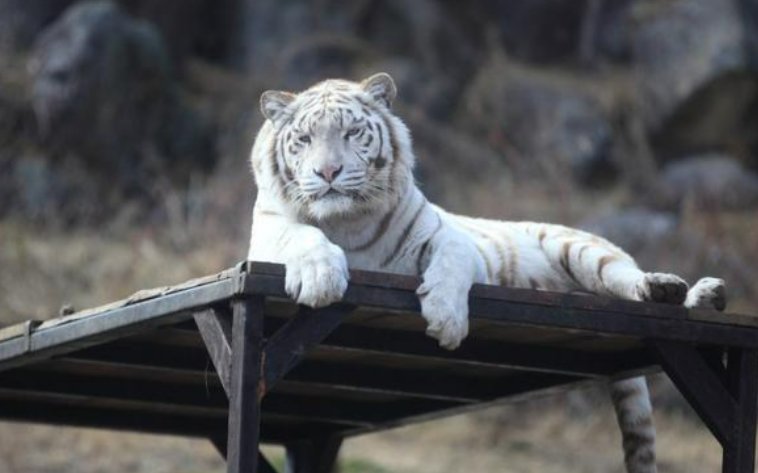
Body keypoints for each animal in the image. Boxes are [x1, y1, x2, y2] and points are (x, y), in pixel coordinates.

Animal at [246, 73, 726, 473]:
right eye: (304, 139)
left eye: (351, 133)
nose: (328, 172)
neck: (349, 221)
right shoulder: (269, 234)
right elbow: (304, 237)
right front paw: (321, 279)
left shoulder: (449, 237)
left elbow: (451, 264)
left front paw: (446, 320)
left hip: (584, 250)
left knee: (627, 279)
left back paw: (682, 290)